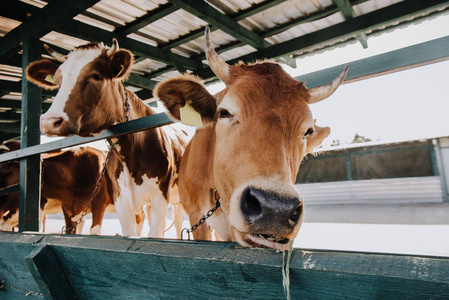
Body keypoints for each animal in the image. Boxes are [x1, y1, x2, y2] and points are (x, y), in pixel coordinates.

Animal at [25, 39, 186, 238]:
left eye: (96, 76)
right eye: (57, 80)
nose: (49, 121)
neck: (131, 155)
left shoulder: (160, 198)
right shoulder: (121, 201)